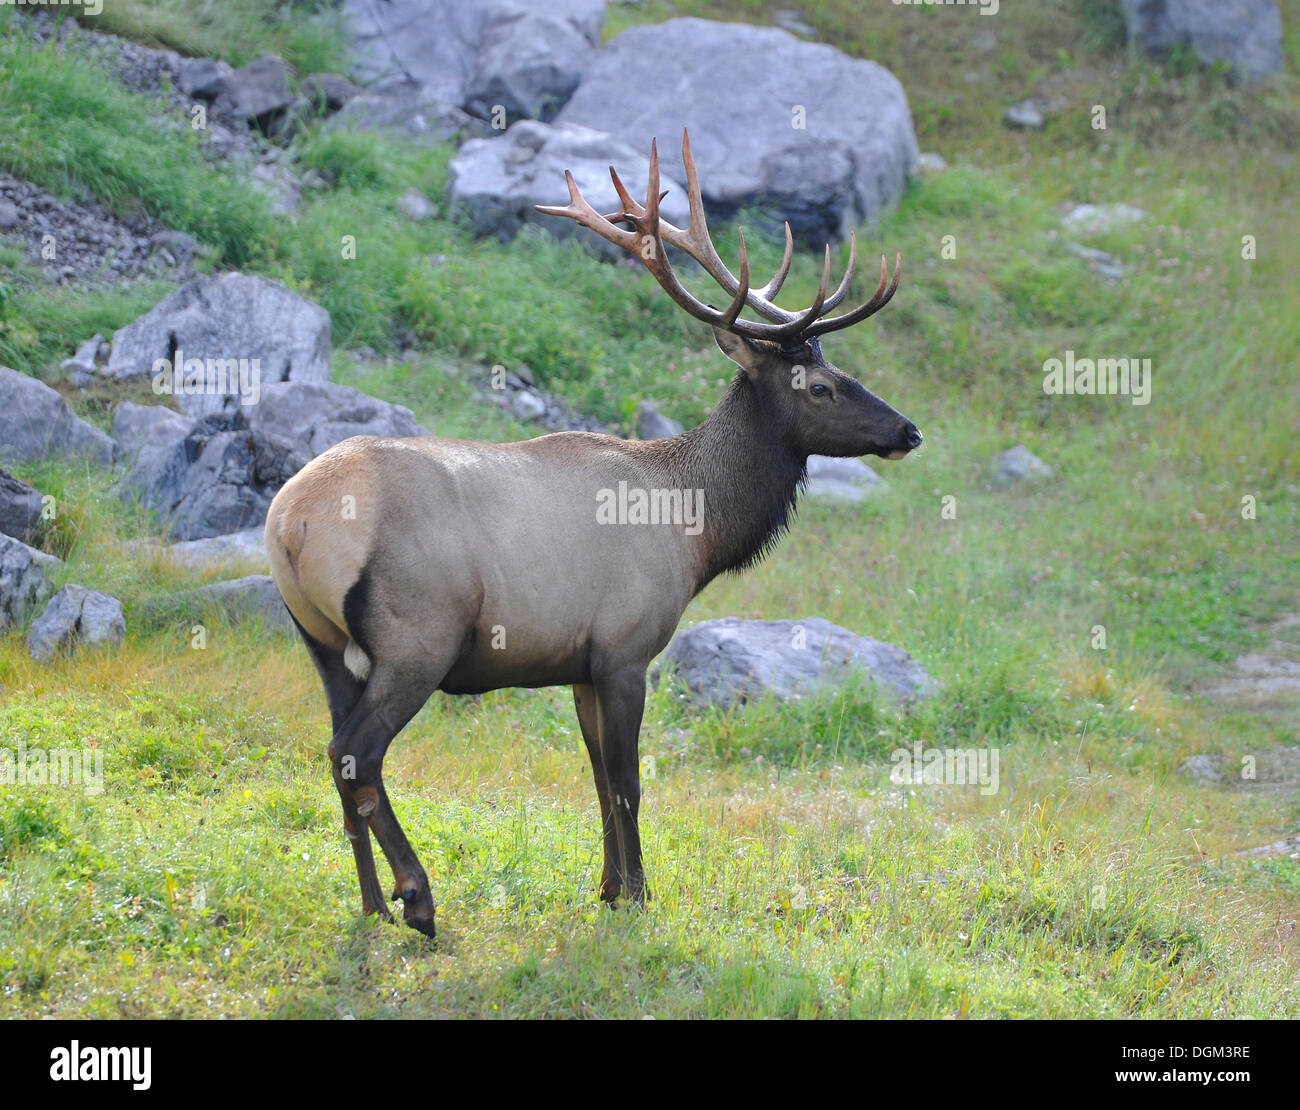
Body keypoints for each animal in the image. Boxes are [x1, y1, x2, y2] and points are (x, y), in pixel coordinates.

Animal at [263, 128, 920, 941]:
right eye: (819, 387)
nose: (907, 430)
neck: (696, 530)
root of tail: (289, 521)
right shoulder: (625, 649)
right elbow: (629, 779)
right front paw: (637, 895)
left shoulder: (578, 664)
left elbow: (599, 777)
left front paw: (607, 887)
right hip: (417, 636)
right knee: (359, 753)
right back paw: (417, 898)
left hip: (323, 646)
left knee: (336, 753)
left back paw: (372, 906)